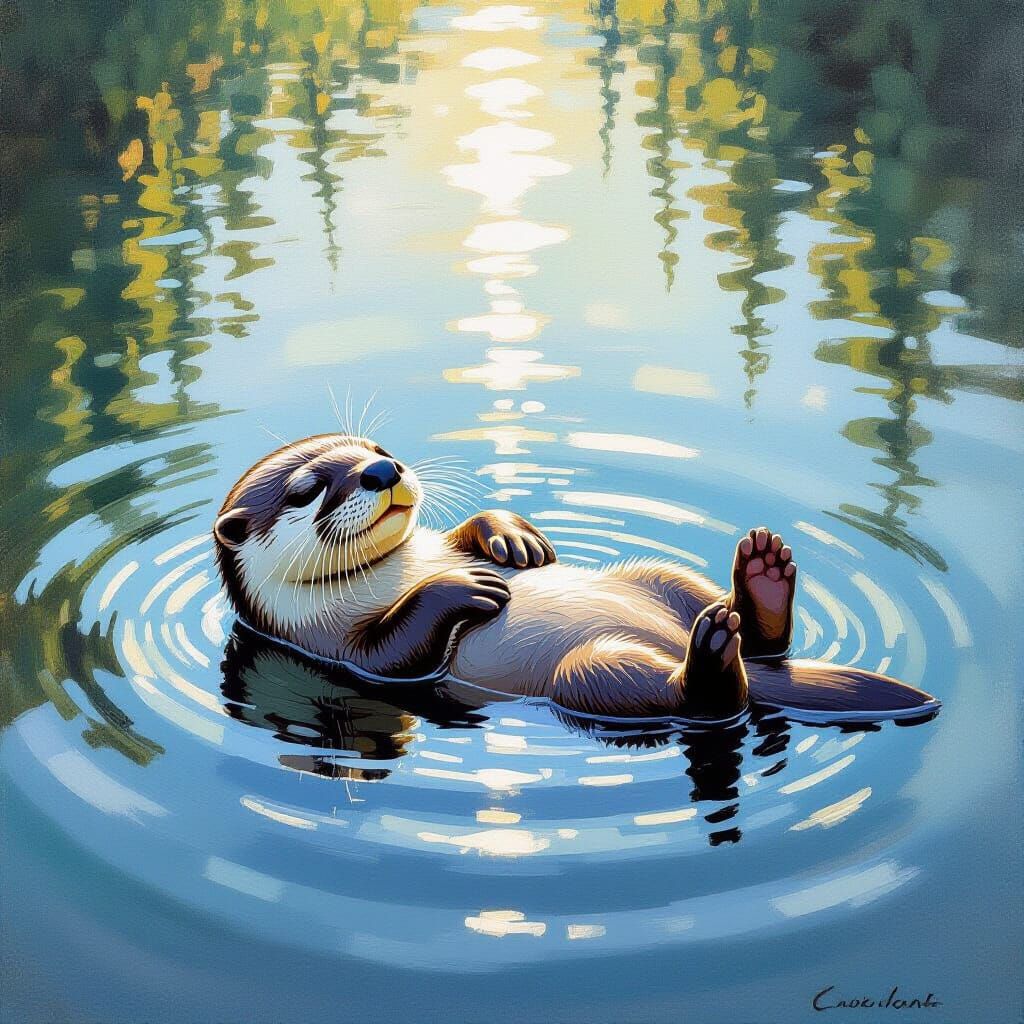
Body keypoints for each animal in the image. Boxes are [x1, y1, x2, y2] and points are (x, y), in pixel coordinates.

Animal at [213, 433, 939, 721]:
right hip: (591, 675)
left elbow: (469, 533)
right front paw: (465, 589)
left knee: (757, 638)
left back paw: (761, 580)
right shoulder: (328, 648)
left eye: (378, 450)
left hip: (661, 577)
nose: (382, 471)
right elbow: (393, 654)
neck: (396, 572)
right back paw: (709, 659)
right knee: (703, 701)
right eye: (308, 488)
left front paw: (510, 538)